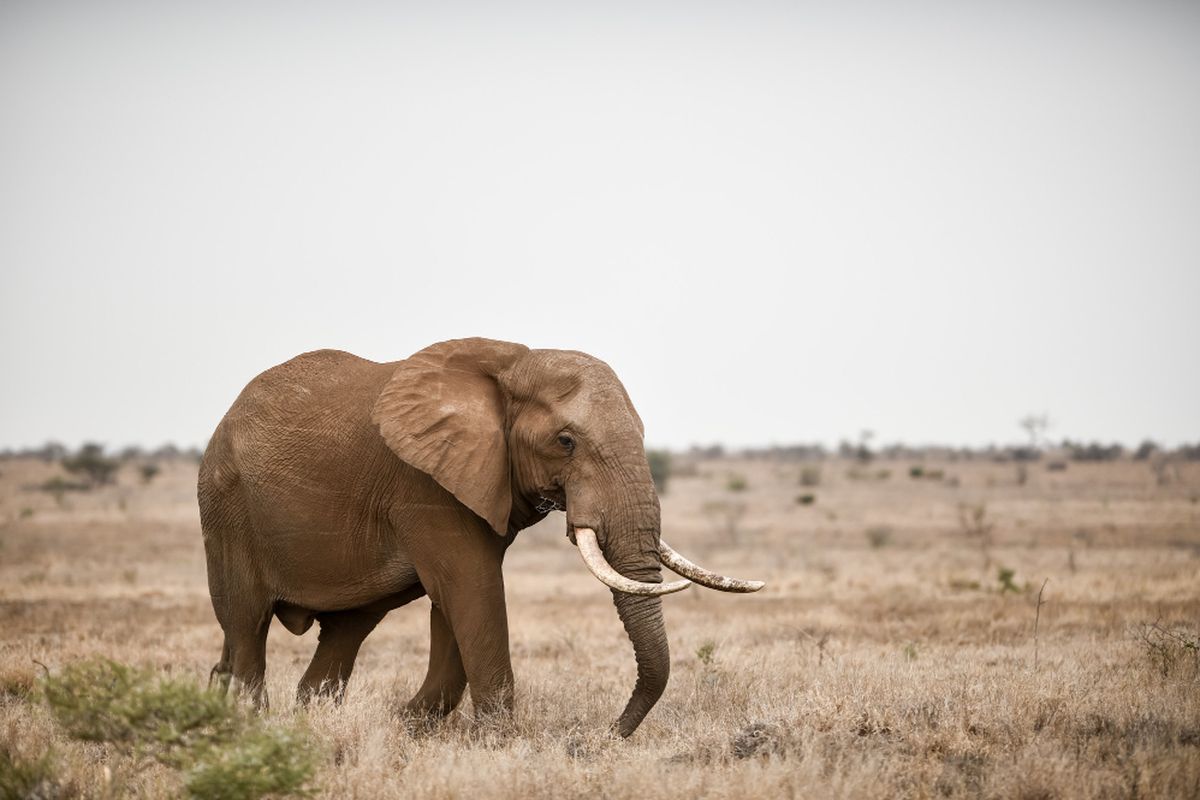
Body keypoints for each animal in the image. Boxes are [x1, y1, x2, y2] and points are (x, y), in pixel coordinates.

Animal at [196, 335, 758, 738]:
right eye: (566, 441)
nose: (608, 733)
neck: (512, 366)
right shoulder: (425, 484)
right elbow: (473, 590)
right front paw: (499, 743)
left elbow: (454, 608)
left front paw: (406, 727)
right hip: (225, 508)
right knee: (246, 625)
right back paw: (247, 727)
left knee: (345, 631)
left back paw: (306, 720)